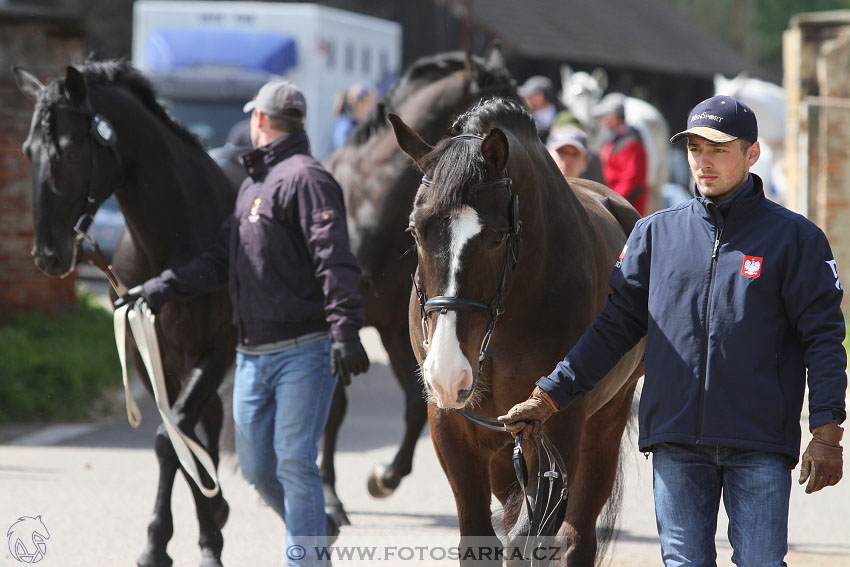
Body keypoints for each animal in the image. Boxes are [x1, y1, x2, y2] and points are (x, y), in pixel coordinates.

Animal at [13, 62, 237, 567]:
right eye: (29, 151)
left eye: (71, 150)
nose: (48, 255)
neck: (179, 239)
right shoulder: (147, 354)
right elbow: (177, 436)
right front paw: (169, 539)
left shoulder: (217, 350)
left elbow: (172, 437)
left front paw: (192, 536)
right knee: (209, 419)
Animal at [320, 46, 512, 520]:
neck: (366, 203)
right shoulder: (339, 331)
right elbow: (333, 408)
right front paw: (330, 498)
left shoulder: (392, 325)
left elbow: (412, 402)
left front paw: (385, 478)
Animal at [390, 97, 644, 564]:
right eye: (416, 230)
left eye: (495, 237)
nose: (447, 372)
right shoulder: (451, 426)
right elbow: (480, 539)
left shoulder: (554, 427)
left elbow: (530, 540)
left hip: (606, 420)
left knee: (578, 536)